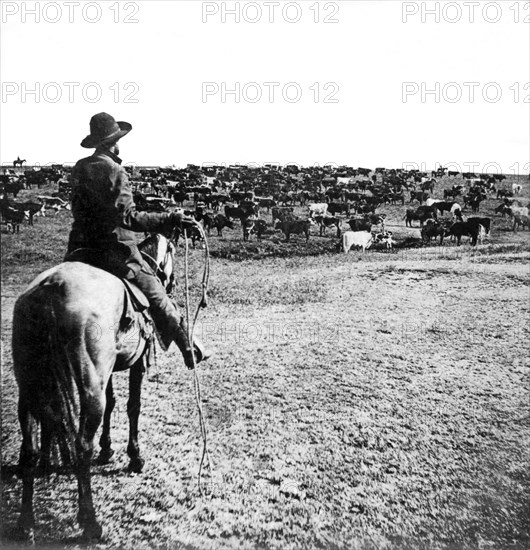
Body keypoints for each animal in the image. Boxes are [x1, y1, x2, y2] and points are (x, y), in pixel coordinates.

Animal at [11, 233, 175, 544]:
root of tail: (50, 290)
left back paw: (26, 523)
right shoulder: (135, 365)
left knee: (29, 449)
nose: (169, 283)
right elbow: (132, 407)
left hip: (30, 388)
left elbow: (112, 403)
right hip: (88, 389)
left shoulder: (106, 373)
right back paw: (90, 522)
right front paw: (134, 457)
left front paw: (107, 449)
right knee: (81, 446)